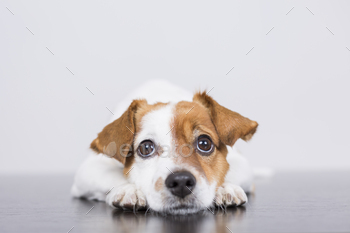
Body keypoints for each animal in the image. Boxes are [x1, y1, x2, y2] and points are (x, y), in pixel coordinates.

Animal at [71, 79, 258, 215]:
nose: (181, 181)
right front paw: (128, 189)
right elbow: (115, 175)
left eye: (204, 143)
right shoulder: (89, 170)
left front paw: (225, 188)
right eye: (146, 148)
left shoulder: (241, 163)